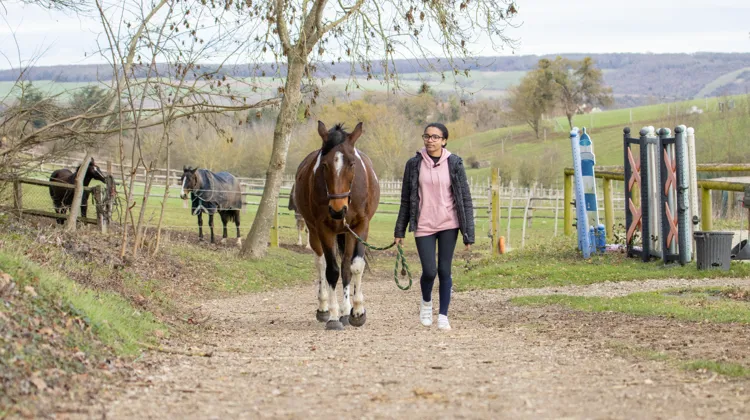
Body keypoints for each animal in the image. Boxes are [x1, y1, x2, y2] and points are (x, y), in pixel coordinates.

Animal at [294, 121, 380, 330]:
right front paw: (333, 316)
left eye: (352, 163)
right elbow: (331, 271)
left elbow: (355, 266)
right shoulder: (323, 228)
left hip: (347, 233)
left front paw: (357, 311)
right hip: (314, 231)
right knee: (321, 263)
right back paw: (324, 307)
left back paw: (346, 311)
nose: (338, 209)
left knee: (347, 265)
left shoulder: (361, 226)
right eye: (324, 165)